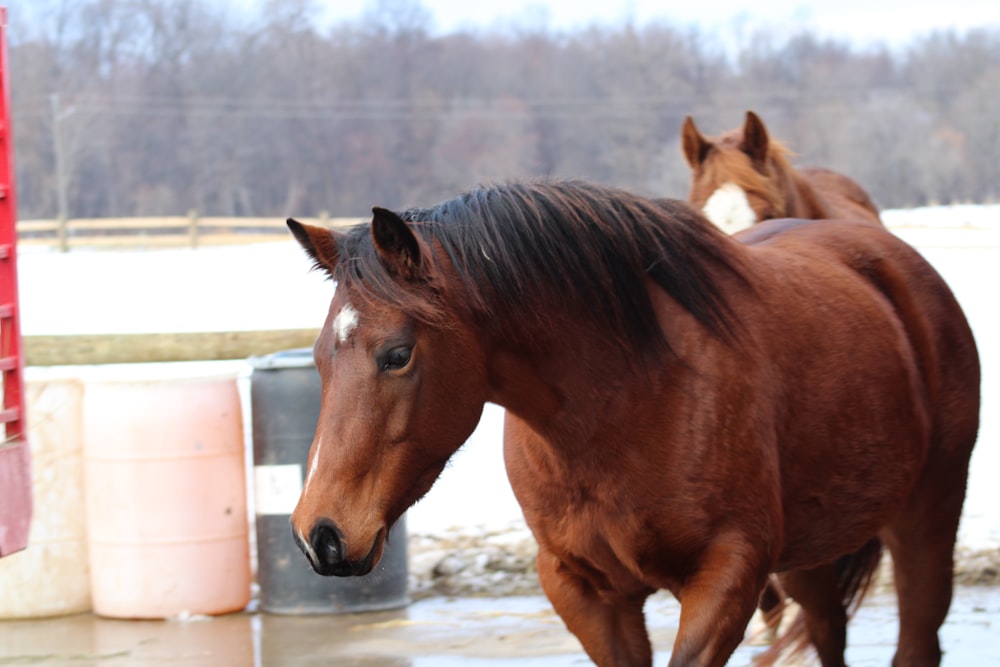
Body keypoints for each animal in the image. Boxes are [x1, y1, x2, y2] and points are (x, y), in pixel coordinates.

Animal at [288, 180, 976, 667]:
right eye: (319, 358)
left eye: (397, 354)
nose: (320, 534)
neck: (620, 405)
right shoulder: (585, 592)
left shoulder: (727, 575)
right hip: (807, 555)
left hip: (926, 519)